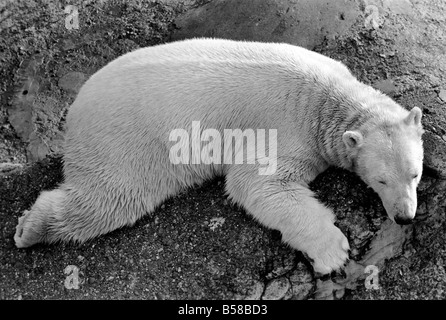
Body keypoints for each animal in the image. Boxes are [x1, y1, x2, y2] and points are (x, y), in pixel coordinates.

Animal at [13, 39, 426, 276]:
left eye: (415, 174)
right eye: (381, 180)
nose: (404, 216)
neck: (330, 101)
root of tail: (75, 110)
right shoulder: (286, 125)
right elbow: (256, 183)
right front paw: (333, 251)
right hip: (124, 143)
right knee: (111, 199)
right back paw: (29, 228)